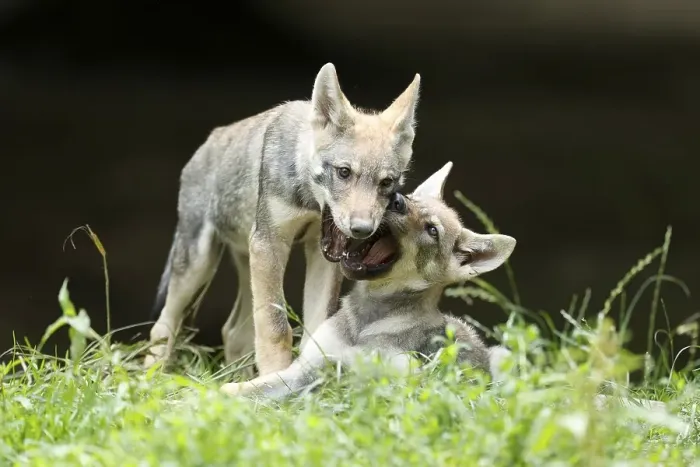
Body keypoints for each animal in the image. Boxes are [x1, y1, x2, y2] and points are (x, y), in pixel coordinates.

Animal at [145, 63, 422, 375]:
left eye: (386, 183)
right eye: (344, 172)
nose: (362, 229)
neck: (307, 197)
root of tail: (209, 141)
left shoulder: (321, 257)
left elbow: (316, 327)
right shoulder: (270, 244)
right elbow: (275, 328)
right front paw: (276, 376)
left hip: (245, 266)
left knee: (233, 333)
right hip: (198, 264)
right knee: (163, 327)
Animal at [220, 162, 517, 398]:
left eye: (432, 230)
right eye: (409, 198)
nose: (397, 199)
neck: (366, 322)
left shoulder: (399, 381)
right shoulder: (306, 368)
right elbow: (240, 389)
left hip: (502, 357)